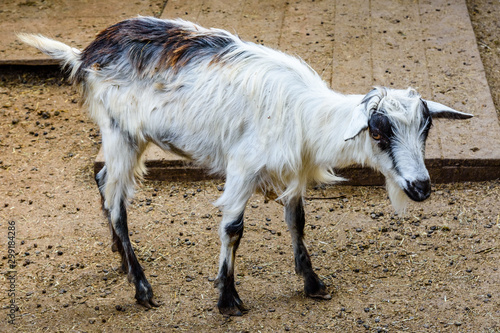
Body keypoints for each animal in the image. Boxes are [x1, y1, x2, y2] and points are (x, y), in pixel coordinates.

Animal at [18, 16, 472, 314]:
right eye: (378, 133)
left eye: (426, 128)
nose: (421, 187)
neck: (304, 113)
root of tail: (87, 52)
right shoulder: (242, 168)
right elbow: (233, 228)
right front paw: (228, 298)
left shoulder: (291, 172)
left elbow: (297, 221)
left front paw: (313, 283)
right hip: (120, 133)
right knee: (116, 202)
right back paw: (142, 287)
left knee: (102, 180)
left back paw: (120, 261)